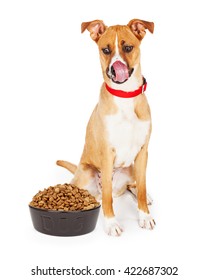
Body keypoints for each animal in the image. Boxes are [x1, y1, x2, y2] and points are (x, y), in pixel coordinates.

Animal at [57, 18, 154, 235]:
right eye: (106, 50)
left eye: (128, 47)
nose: (115, 68)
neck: (124, 96)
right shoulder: (107, 153)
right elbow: (108, 197)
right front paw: (111, 223)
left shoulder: (143, 151)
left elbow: (142, 188)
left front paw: (144, 216)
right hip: (86, 174)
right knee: (101, 192)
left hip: (131, 168)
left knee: (133, 185)